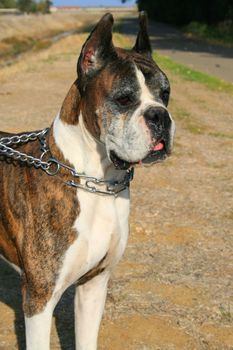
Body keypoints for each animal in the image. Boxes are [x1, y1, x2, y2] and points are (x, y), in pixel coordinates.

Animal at [0, 12, 175, 348]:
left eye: (165, 94)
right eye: (124, 99)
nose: (161, 116)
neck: (96, 181)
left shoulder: (93, 287)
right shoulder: (39, 300)